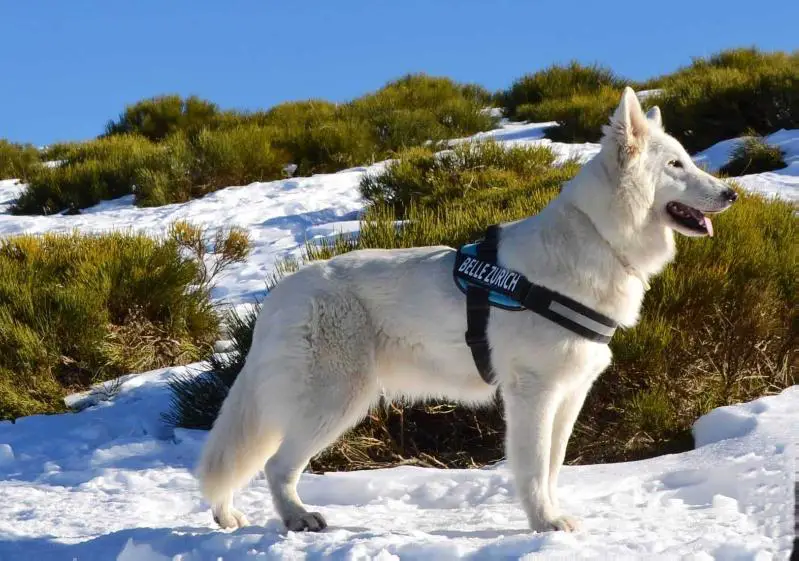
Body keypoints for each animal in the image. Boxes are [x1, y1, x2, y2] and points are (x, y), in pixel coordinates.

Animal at [195, 86, 736, 528]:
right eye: (676, 165)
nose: (731, 193)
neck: (599, 236)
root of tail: (279, 294)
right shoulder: (532, 394)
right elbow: (533, 468)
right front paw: (543, 524)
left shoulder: (570, 393)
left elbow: (553, 467)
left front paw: (553, 516)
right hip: (336, 401)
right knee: (275, 466)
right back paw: (298, 518)